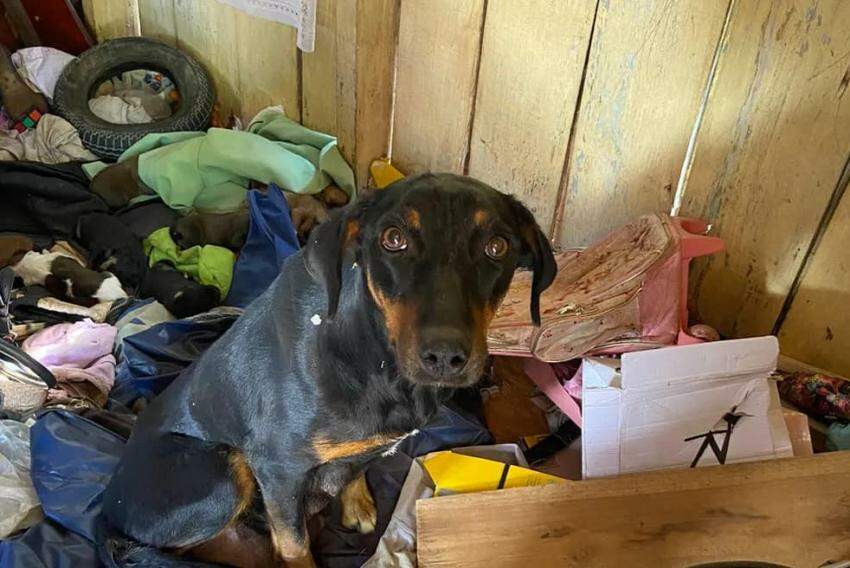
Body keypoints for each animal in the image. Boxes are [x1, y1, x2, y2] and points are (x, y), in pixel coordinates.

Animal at [99, 174, 552, 568]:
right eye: (393, 239)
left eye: (497, 246)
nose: (444, 356)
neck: (377, 363)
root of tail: (107, 508)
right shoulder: (276, 469)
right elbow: (294, 544)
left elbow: (358, 467)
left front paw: (357, 503)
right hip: (219, 472)